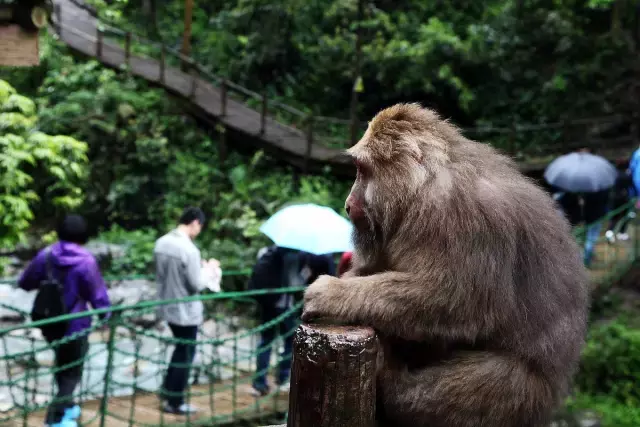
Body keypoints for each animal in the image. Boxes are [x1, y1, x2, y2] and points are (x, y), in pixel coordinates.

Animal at [302, 103, 592, 427]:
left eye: (362, 170)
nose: (348, 204)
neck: (423, 186)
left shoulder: (462, 217)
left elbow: (455, 301)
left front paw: (331, 294)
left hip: (523, 399)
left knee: (493, 377)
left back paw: (393, 384)